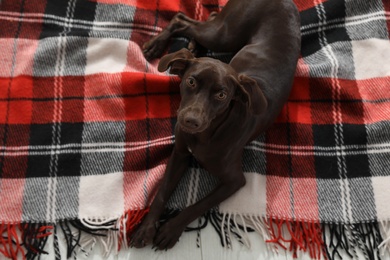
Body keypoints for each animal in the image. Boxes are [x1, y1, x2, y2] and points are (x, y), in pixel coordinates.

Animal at [132, 0, 302, 251]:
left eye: (221, 95)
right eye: (191, 81)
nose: (191, 121)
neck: (206, 135)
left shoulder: (234, 180)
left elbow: (198, 205)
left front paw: (171, 230)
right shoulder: (180, 153)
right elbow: (162, 192)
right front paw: (145, 229)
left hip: (224, 34)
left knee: (194, 20)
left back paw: (186, 46)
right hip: (224, 34)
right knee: (184, 20)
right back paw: (159, 46)